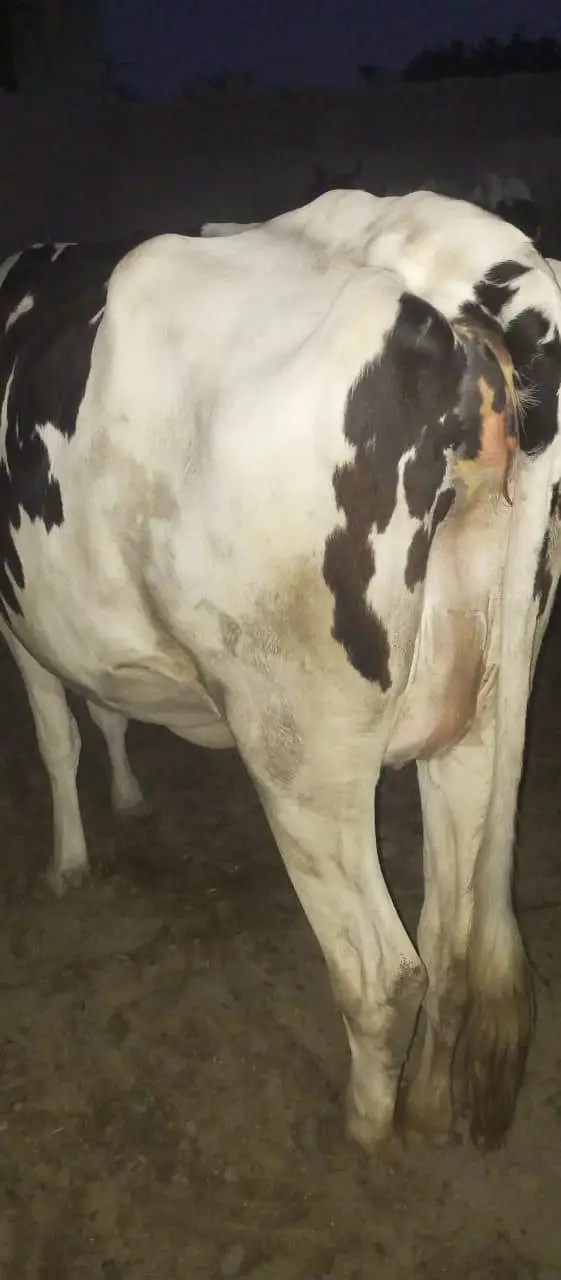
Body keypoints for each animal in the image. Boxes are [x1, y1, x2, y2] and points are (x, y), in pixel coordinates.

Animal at [1, 190, 561, 1160]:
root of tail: (453, 288)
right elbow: (104, 714)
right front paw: (125, 797)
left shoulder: (19, 620)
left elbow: (56, 735)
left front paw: (69, 861)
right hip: (476, 718)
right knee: (449, 939)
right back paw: (425, 1107)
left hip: (300, 750)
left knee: (382, 972)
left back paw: (364, 1128)